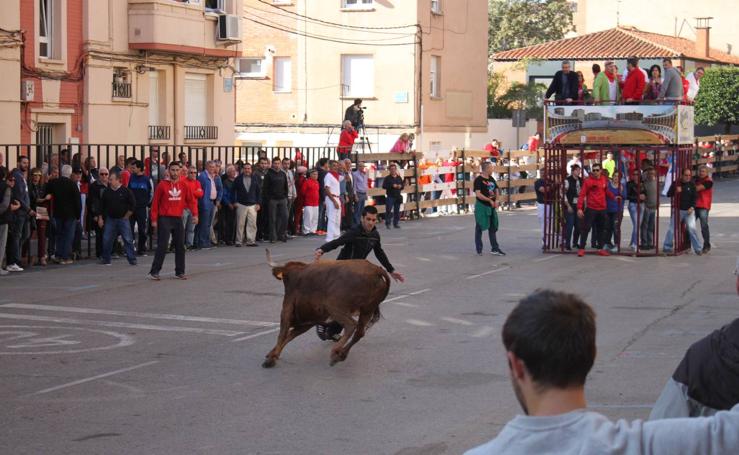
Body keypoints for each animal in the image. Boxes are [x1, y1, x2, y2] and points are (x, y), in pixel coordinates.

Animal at [264, 251, 394, 368]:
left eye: (286, 280)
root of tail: (376, 269)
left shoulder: (287, 310)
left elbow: (283, 334)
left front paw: (270, 359)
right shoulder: (308, 321)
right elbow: (290, 335)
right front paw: (271, 354)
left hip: (335, 307)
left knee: (351, 325)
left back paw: (335, 351)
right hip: (367, 310)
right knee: (359, 332)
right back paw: (340, 355)